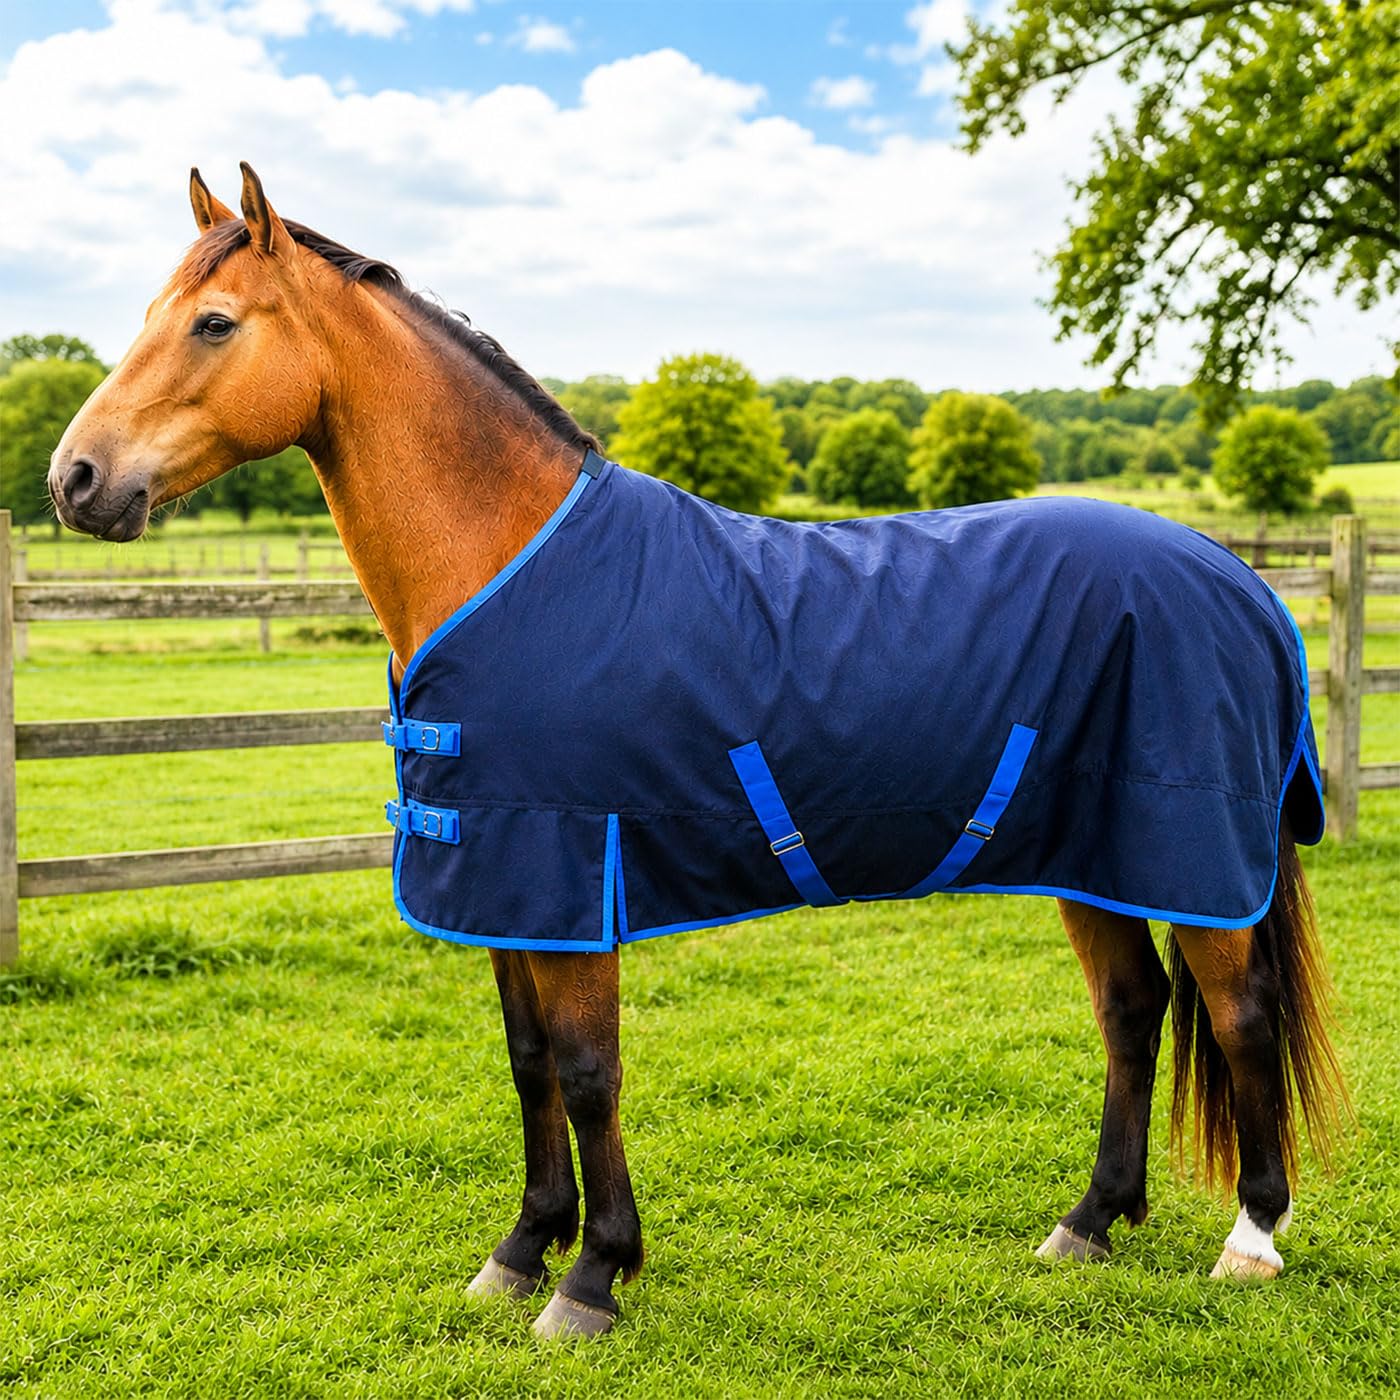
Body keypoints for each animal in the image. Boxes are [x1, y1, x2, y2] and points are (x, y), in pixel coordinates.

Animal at [49, 164, 1346, 1340]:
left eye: (215, 323)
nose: (74, 477)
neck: (513, 560)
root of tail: (1239, 582)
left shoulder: (572, 871)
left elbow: (587, 1068)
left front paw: (589, 1276)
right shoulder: (509, 886)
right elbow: (527, 1061)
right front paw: (521, 1248)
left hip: (1189, 853)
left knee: (1237, 1013)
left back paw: (1250, 1235)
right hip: (1091, 853)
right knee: (1131, 1010)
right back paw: (1086, 1222)